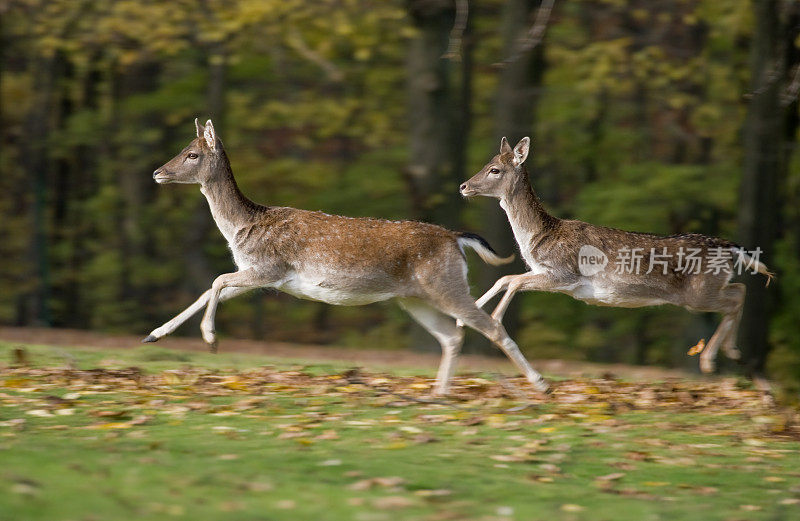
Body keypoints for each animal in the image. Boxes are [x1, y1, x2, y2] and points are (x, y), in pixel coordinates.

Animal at [142, 119, 552, 394]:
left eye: (192, 153)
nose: (158, 172)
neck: (245, 227)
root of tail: (455, 239)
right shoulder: (261, 275)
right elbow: (209, 290)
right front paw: (154, 334)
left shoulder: (267, 267)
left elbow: (215, 280)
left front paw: (210, 338)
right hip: (414, 297)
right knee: (451, 336)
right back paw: (438, 393)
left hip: (446, 285)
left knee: (489, 327)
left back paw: (541, 385)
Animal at [462, 136, 776, 372]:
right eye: (487, 164)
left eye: (495, 170)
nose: (464, 186)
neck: (540, 238)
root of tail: (729, 246)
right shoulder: (545, 273)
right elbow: (504, 279)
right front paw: (467, 315)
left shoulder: (564, 275)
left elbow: (513, 280)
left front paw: (494, 322)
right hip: (708, 288)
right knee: (739, 289)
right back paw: (731, 351)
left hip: (697, 294)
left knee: (735, 296)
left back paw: (711, 359)